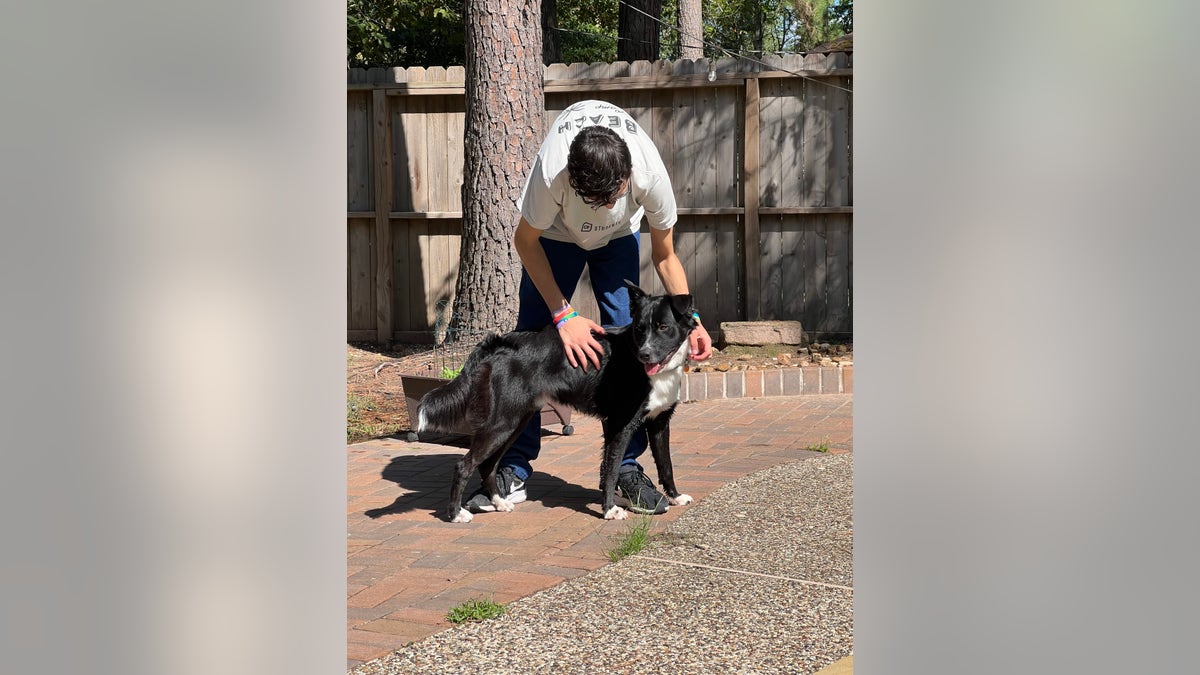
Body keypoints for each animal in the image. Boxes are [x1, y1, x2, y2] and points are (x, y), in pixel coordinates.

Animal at [422, 278, 700, 521]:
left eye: (663, 327)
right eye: (639, 329)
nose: (645, 354)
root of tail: (500, 342)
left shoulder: (659, 424)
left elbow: (666, 465)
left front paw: (675, 497)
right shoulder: (621, 425)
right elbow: (611, 469)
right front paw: (609, 510)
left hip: (515, 422)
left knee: (487, 465)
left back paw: (499, 502)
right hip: (502, 423)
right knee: (464, 465)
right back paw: (456, 514)